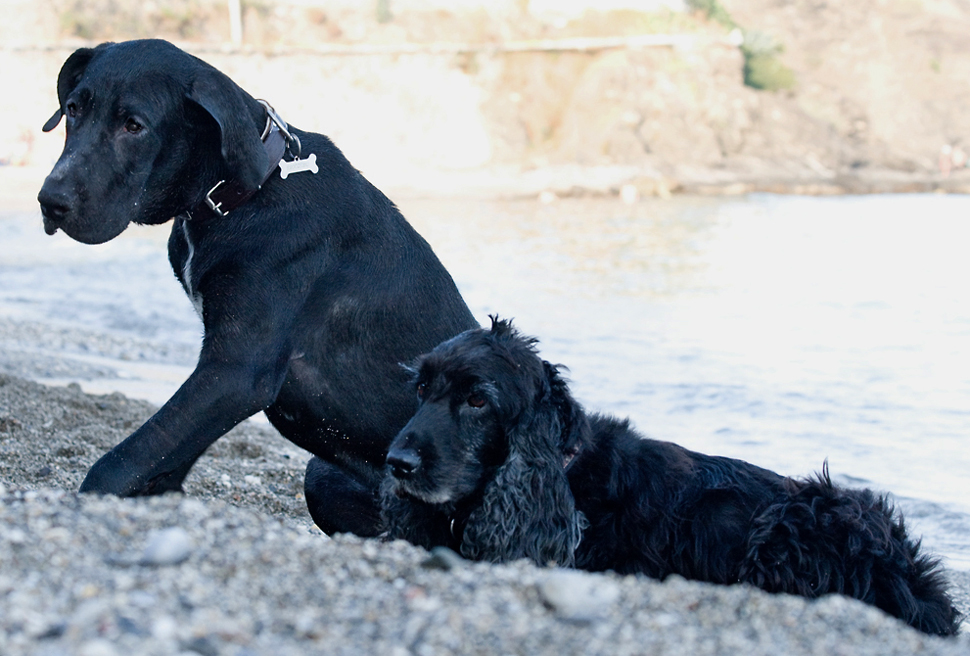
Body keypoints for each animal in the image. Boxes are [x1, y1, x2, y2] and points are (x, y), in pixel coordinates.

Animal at [36, 39, 476, 532]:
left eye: (134, 125)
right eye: (73, 109)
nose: (50, 202)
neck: (245, 192)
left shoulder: (236, 370)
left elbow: (127, 458)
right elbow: (167, 451)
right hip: (322, 475)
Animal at [380, 318, 960, 636]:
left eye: (478, 400)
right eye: (421, 389)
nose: (396, 463)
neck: (564, 478)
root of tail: (919, 583)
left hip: (799, 516)